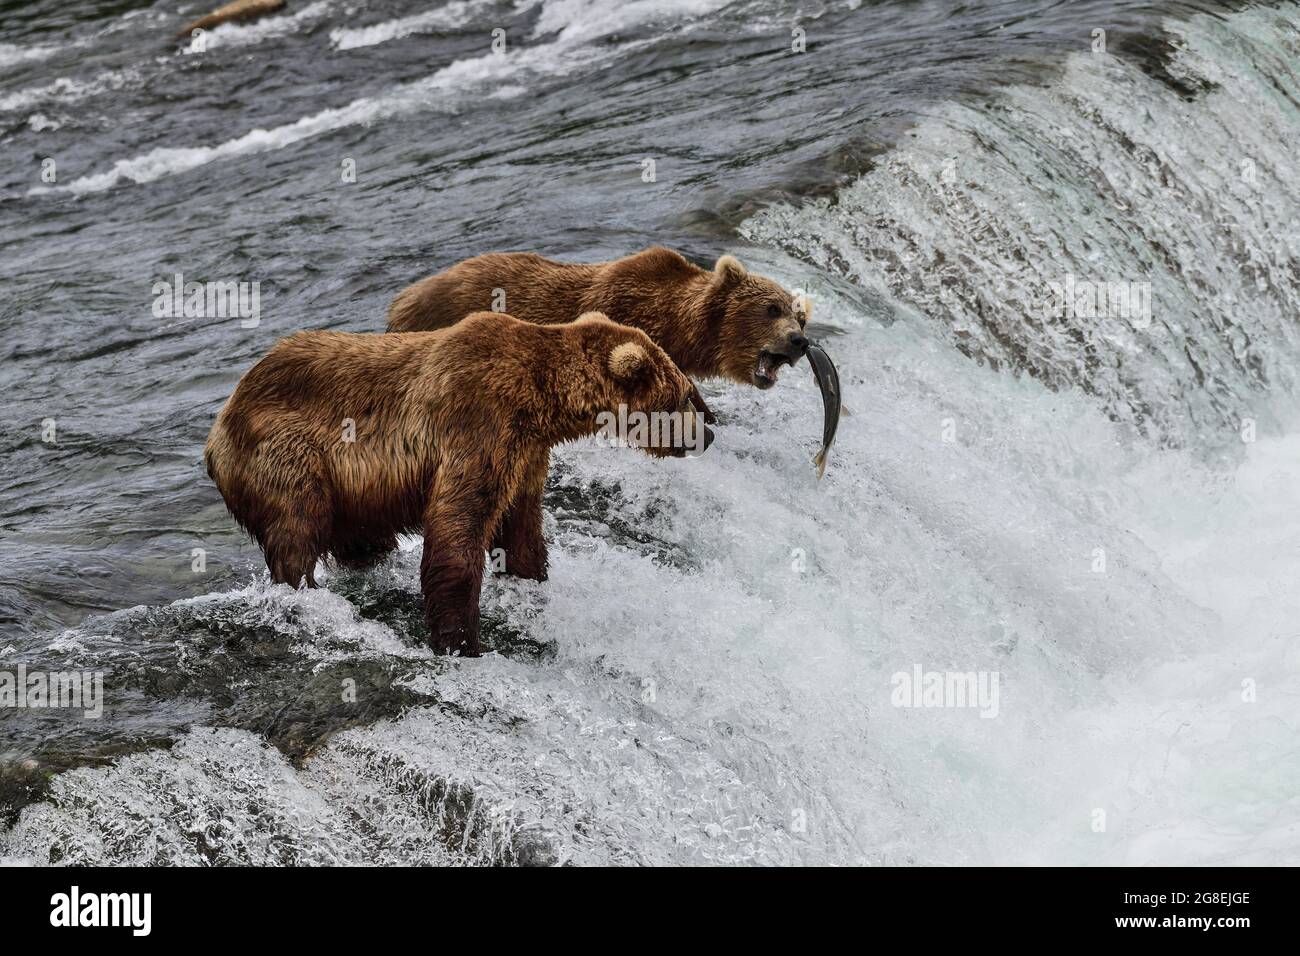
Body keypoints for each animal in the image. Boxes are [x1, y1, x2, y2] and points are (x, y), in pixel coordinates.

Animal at [202, 310, 712, 655]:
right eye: (684, 396)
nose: (707, 434)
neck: (541, 399)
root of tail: (216, 431)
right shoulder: (478, 421)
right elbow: (458, 526)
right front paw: (462, 640)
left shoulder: (526, 454)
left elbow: (520, 527)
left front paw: (530, 577)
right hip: (287, 452)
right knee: (297, 527)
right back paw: (303, 593)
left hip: (351, 496)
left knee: (361, 540)